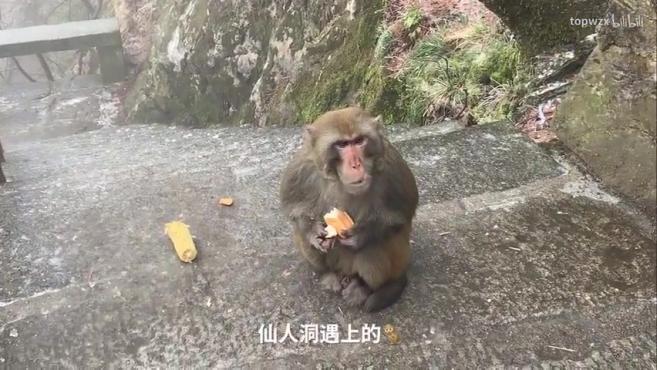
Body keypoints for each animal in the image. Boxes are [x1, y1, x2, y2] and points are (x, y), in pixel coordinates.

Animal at [280, 107, 418, 312]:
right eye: (342, 144)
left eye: (359, 141)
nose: (355, 164)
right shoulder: (302, 166)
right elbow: (292, 207)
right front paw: (313, 230)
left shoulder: (392, 166)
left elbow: (402, 214)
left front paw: (362, 234)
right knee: (301, 235)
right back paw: (328, 274)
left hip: (398, 261)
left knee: (373, 248)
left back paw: (364, 286)